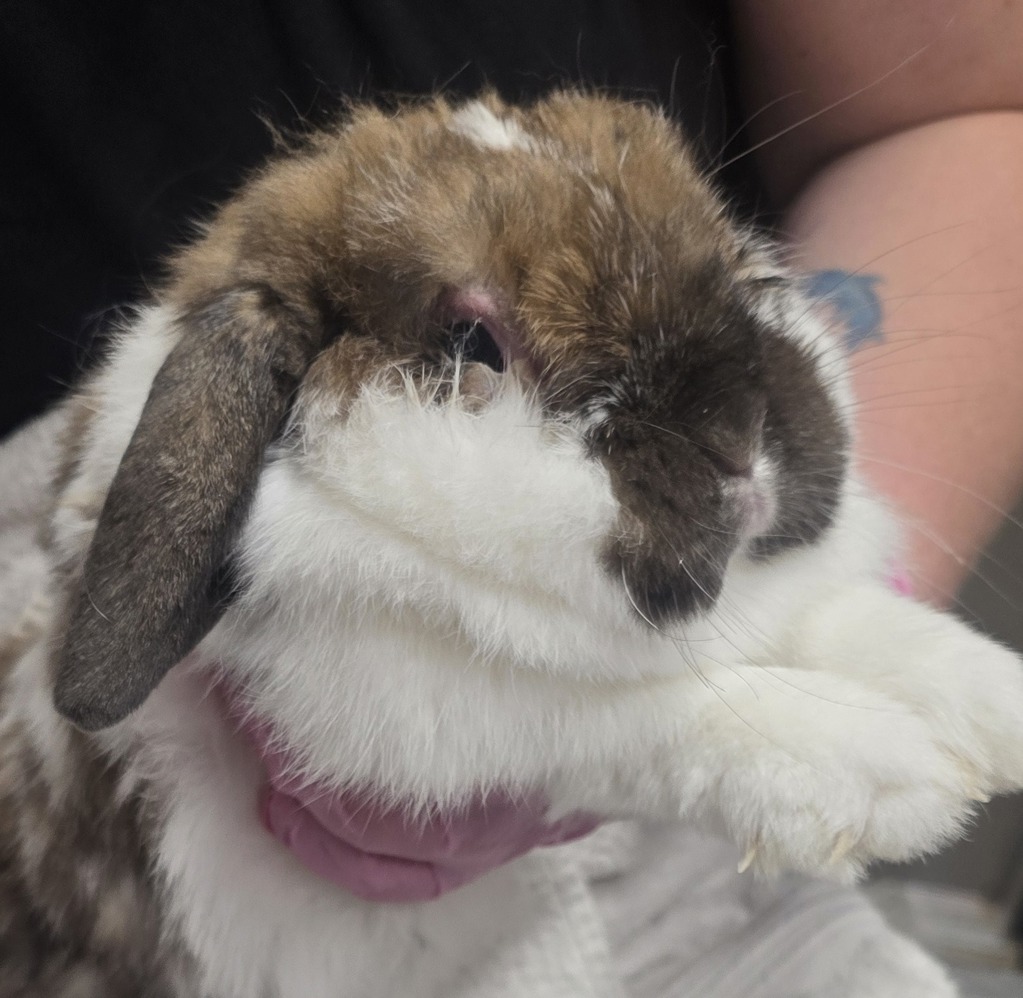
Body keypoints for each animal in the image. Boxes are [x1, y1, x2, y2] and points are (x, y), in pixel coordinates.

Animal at [1, 90, 1022, 998]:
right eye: (472, 343)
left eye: (731, 257)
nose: (743, 439)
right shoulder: (425, 718)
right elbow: (647, 713)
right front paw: (885, 774)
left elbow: (844, 621)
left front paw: (991, 703)